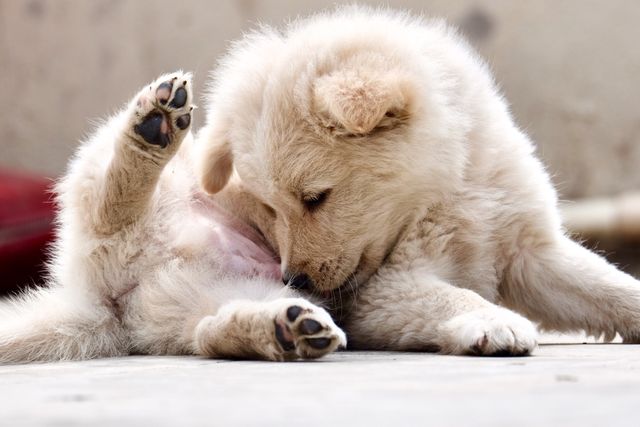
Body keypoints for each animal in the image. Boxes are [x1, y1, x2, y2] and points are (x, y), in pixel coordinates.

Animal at [0, 73, 344, 364]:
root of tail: (106, 300)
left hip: (213, 292)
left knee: (207, 333)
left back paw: (286, 329)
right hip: (117, 173)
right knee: (108, 209)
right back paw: (153, 127)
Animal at [199, 5, 640, 356]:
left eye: (315, 198)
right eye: (270, 208)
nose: (294, 279)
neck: (449, 187)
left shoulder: (527, 251)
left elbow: (607, 284)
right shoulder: (384, 288)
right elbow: (452, 295)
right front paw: (492, 321)